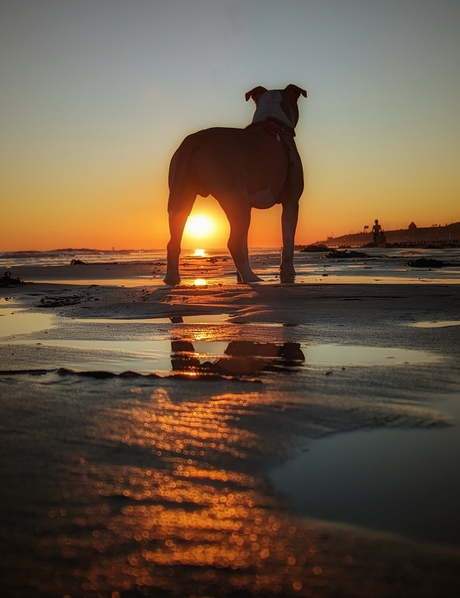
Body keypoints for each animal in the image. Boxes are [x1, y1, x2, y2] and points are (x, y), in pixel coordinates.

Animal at [164, 84, 308, 286]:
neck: (274, 123)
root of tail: (198, 139)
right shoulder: (291, 202)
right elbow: (288, 242)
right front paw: (288, 273)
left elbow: (245, 244)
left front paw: (239, 277)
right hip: (235, 201)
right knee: (232, 241)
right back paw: (251, 277)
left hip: (181, 197)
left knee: (174, 241)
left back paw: (172, 278)